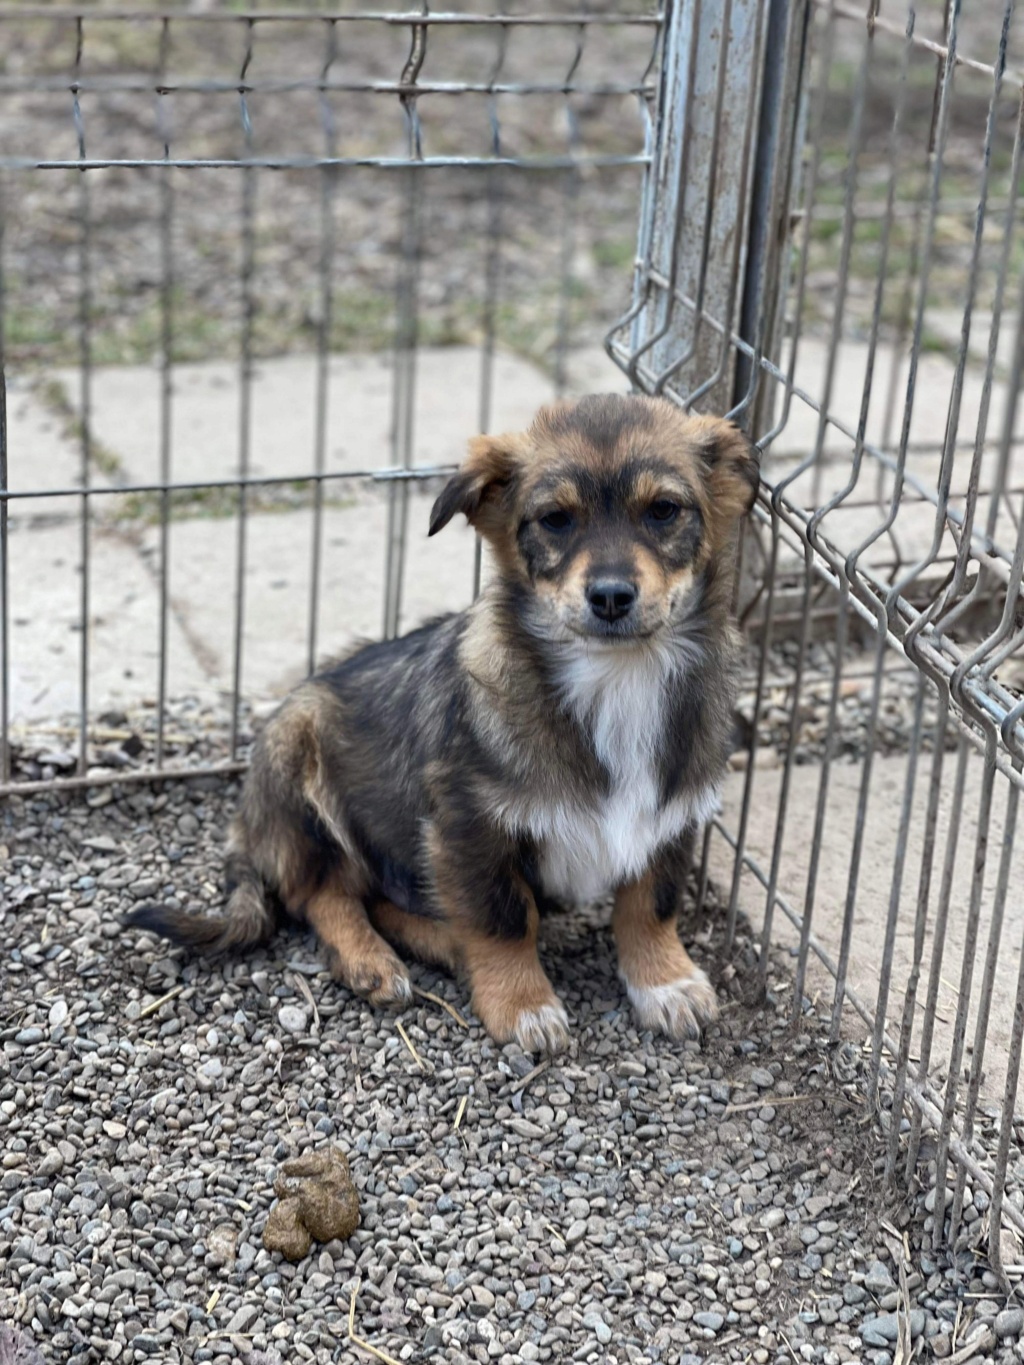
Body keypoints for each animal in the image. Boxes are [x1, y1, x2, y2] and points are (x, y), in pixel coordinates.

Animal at [124, 390, 759, 1048]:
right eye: (556, 519)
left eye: (663, 511)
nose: (610, 596)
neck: (617, 679)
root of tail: (247, 826)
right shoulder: (468, 824)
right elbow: (506, 918)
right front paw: (523, 1004)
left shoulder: (672, 817)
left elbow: (651, 905)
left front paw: (665, 982)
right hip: (298, 769)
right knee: (322, 893)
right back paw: (374, 961)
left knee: (378, 897)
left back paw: (438, 939)